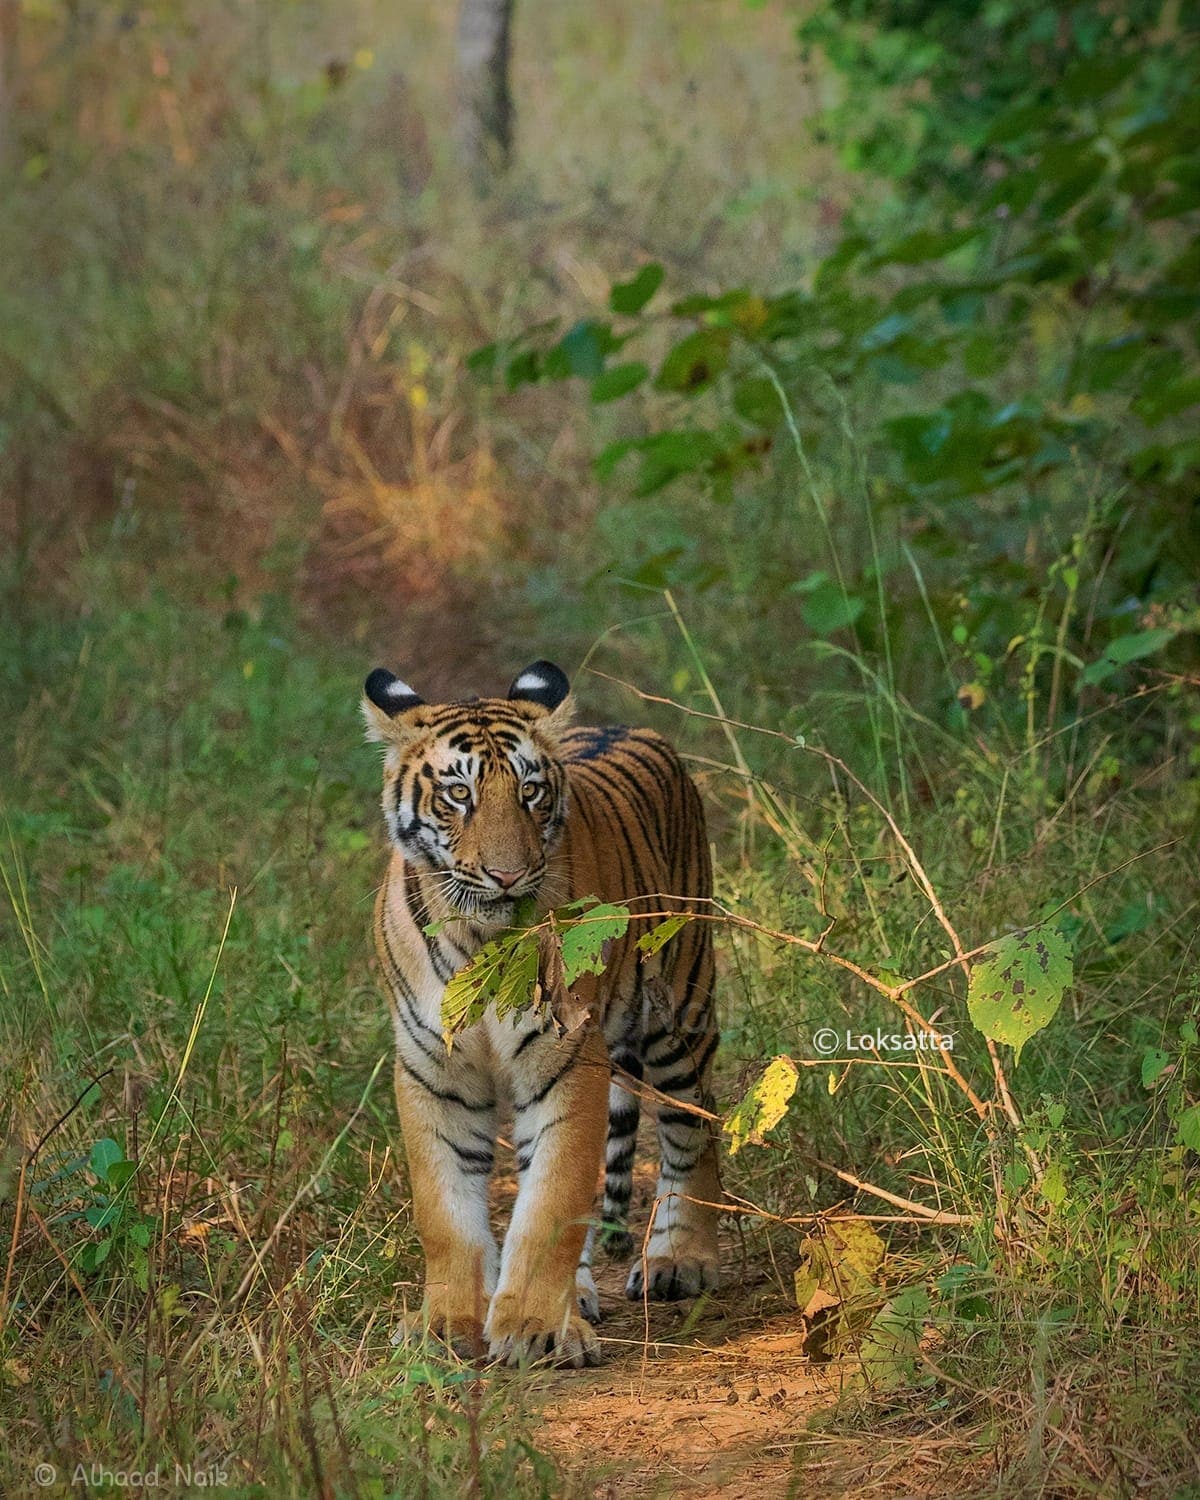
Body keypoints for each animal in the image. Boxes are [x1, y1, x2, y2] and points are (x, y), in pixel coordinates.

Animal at [361, 663, 723, 1368]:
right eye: (458, 794)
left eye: (529, 792)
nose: (508, 874)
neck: (481, 937)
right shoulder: (433, 1069)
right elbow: (445, 1210)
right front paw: (445, 1326)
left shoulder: (565, 1057)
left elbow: (551, 1203)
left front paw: (533, 1328)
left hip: (680, 1008)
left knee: (695, 1128)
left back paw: (678, 1259)